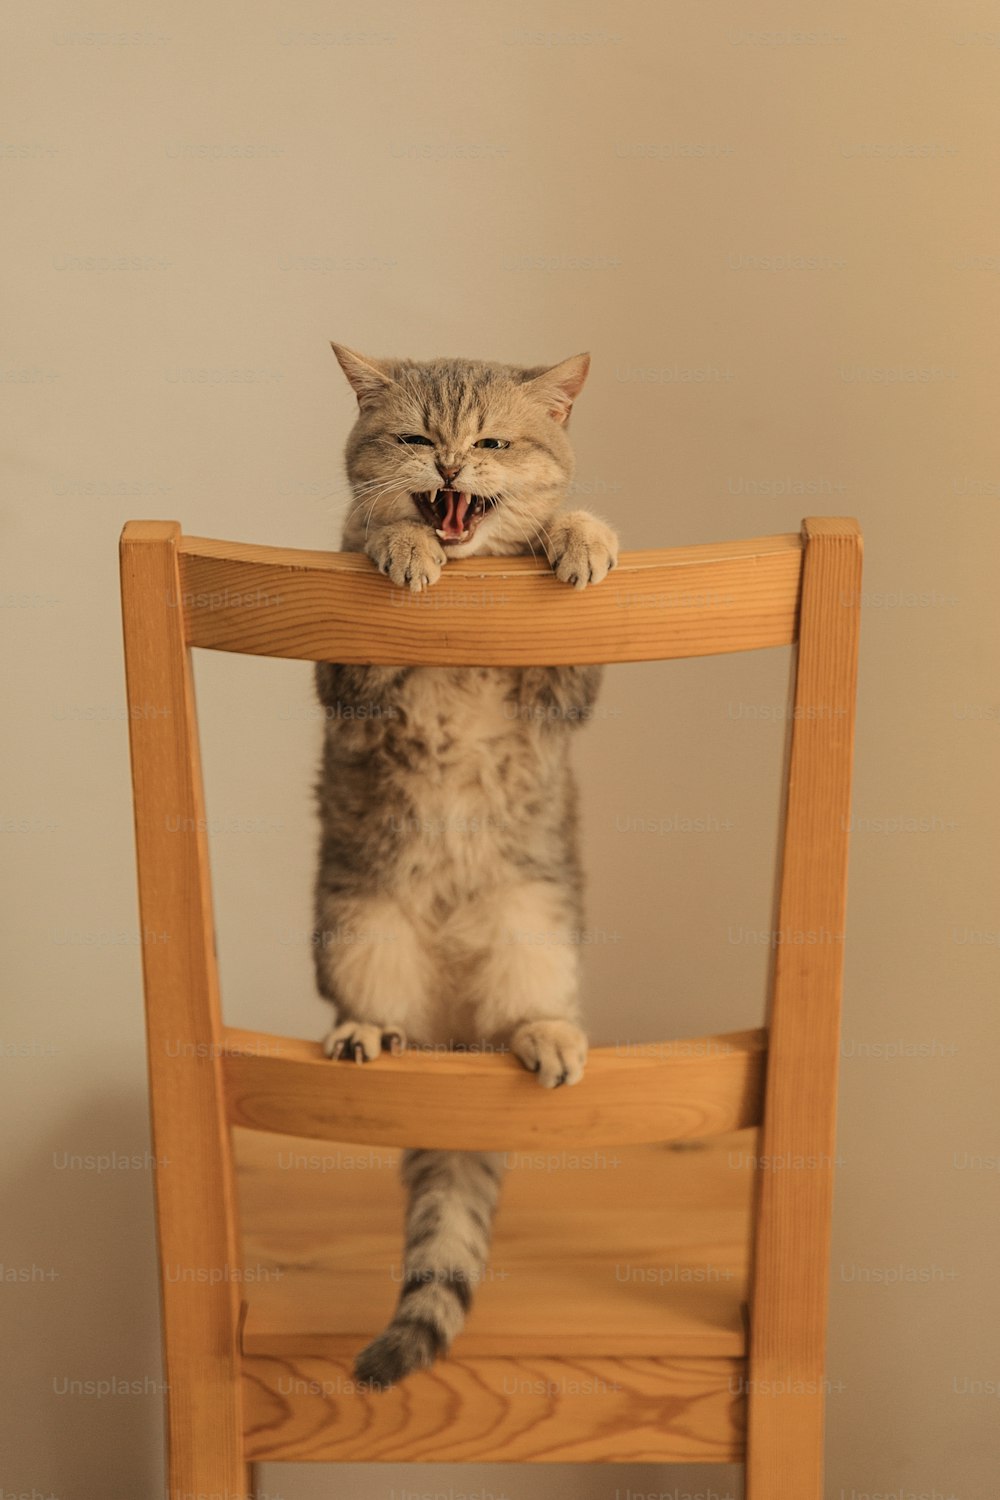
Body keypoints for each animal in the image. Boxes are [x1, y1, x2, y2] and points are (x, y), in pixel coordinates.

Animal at [314, 345, 617, 1386]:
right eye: (415, 436)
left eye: (490, 443)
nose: (448, 465)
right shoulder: (345, 682)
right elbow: (367, 529)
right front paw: (402, 544)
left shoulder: (561, 690)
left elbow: (567, 529)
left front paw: (580, 534)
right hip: (357, 930)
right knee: (380, 1013)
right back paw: (367, 1034)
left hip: (535, 930)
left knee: (520, 1017)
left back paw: (546, 1037)